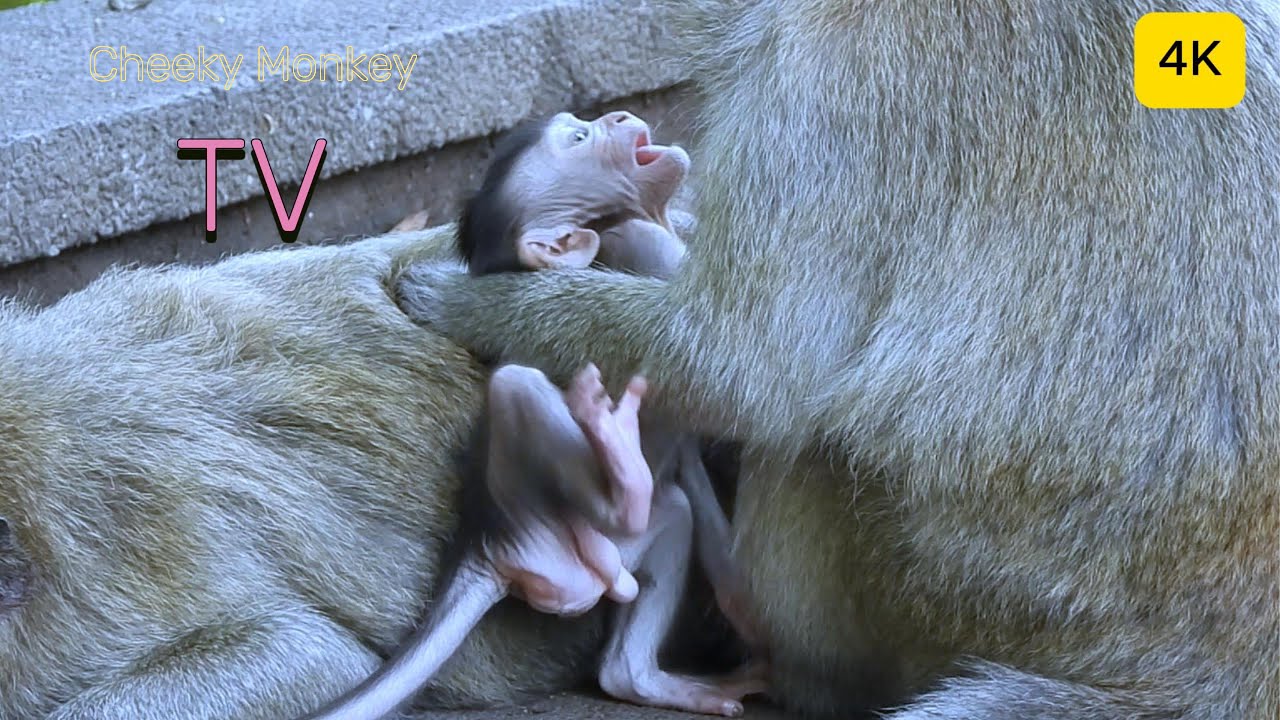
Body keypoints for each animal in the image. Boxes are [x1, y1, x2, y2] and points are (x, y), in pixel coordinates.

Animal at [304, 111, 765, 720]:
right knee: (517, 384)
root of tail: (487, 546)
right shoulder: (645, 246)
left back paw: (641, 676)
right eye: (580, 138)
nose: (618, 116)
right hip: (546, 533)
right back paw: (620, 471)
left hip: (618, 552)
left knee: (672, 521)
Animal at [396, 1, 1280, 719]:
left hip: (937, 598)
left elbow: (737, 368)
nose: (615, 117)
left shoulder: (835, 63)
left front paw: (464, 298)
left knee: (812, 442)